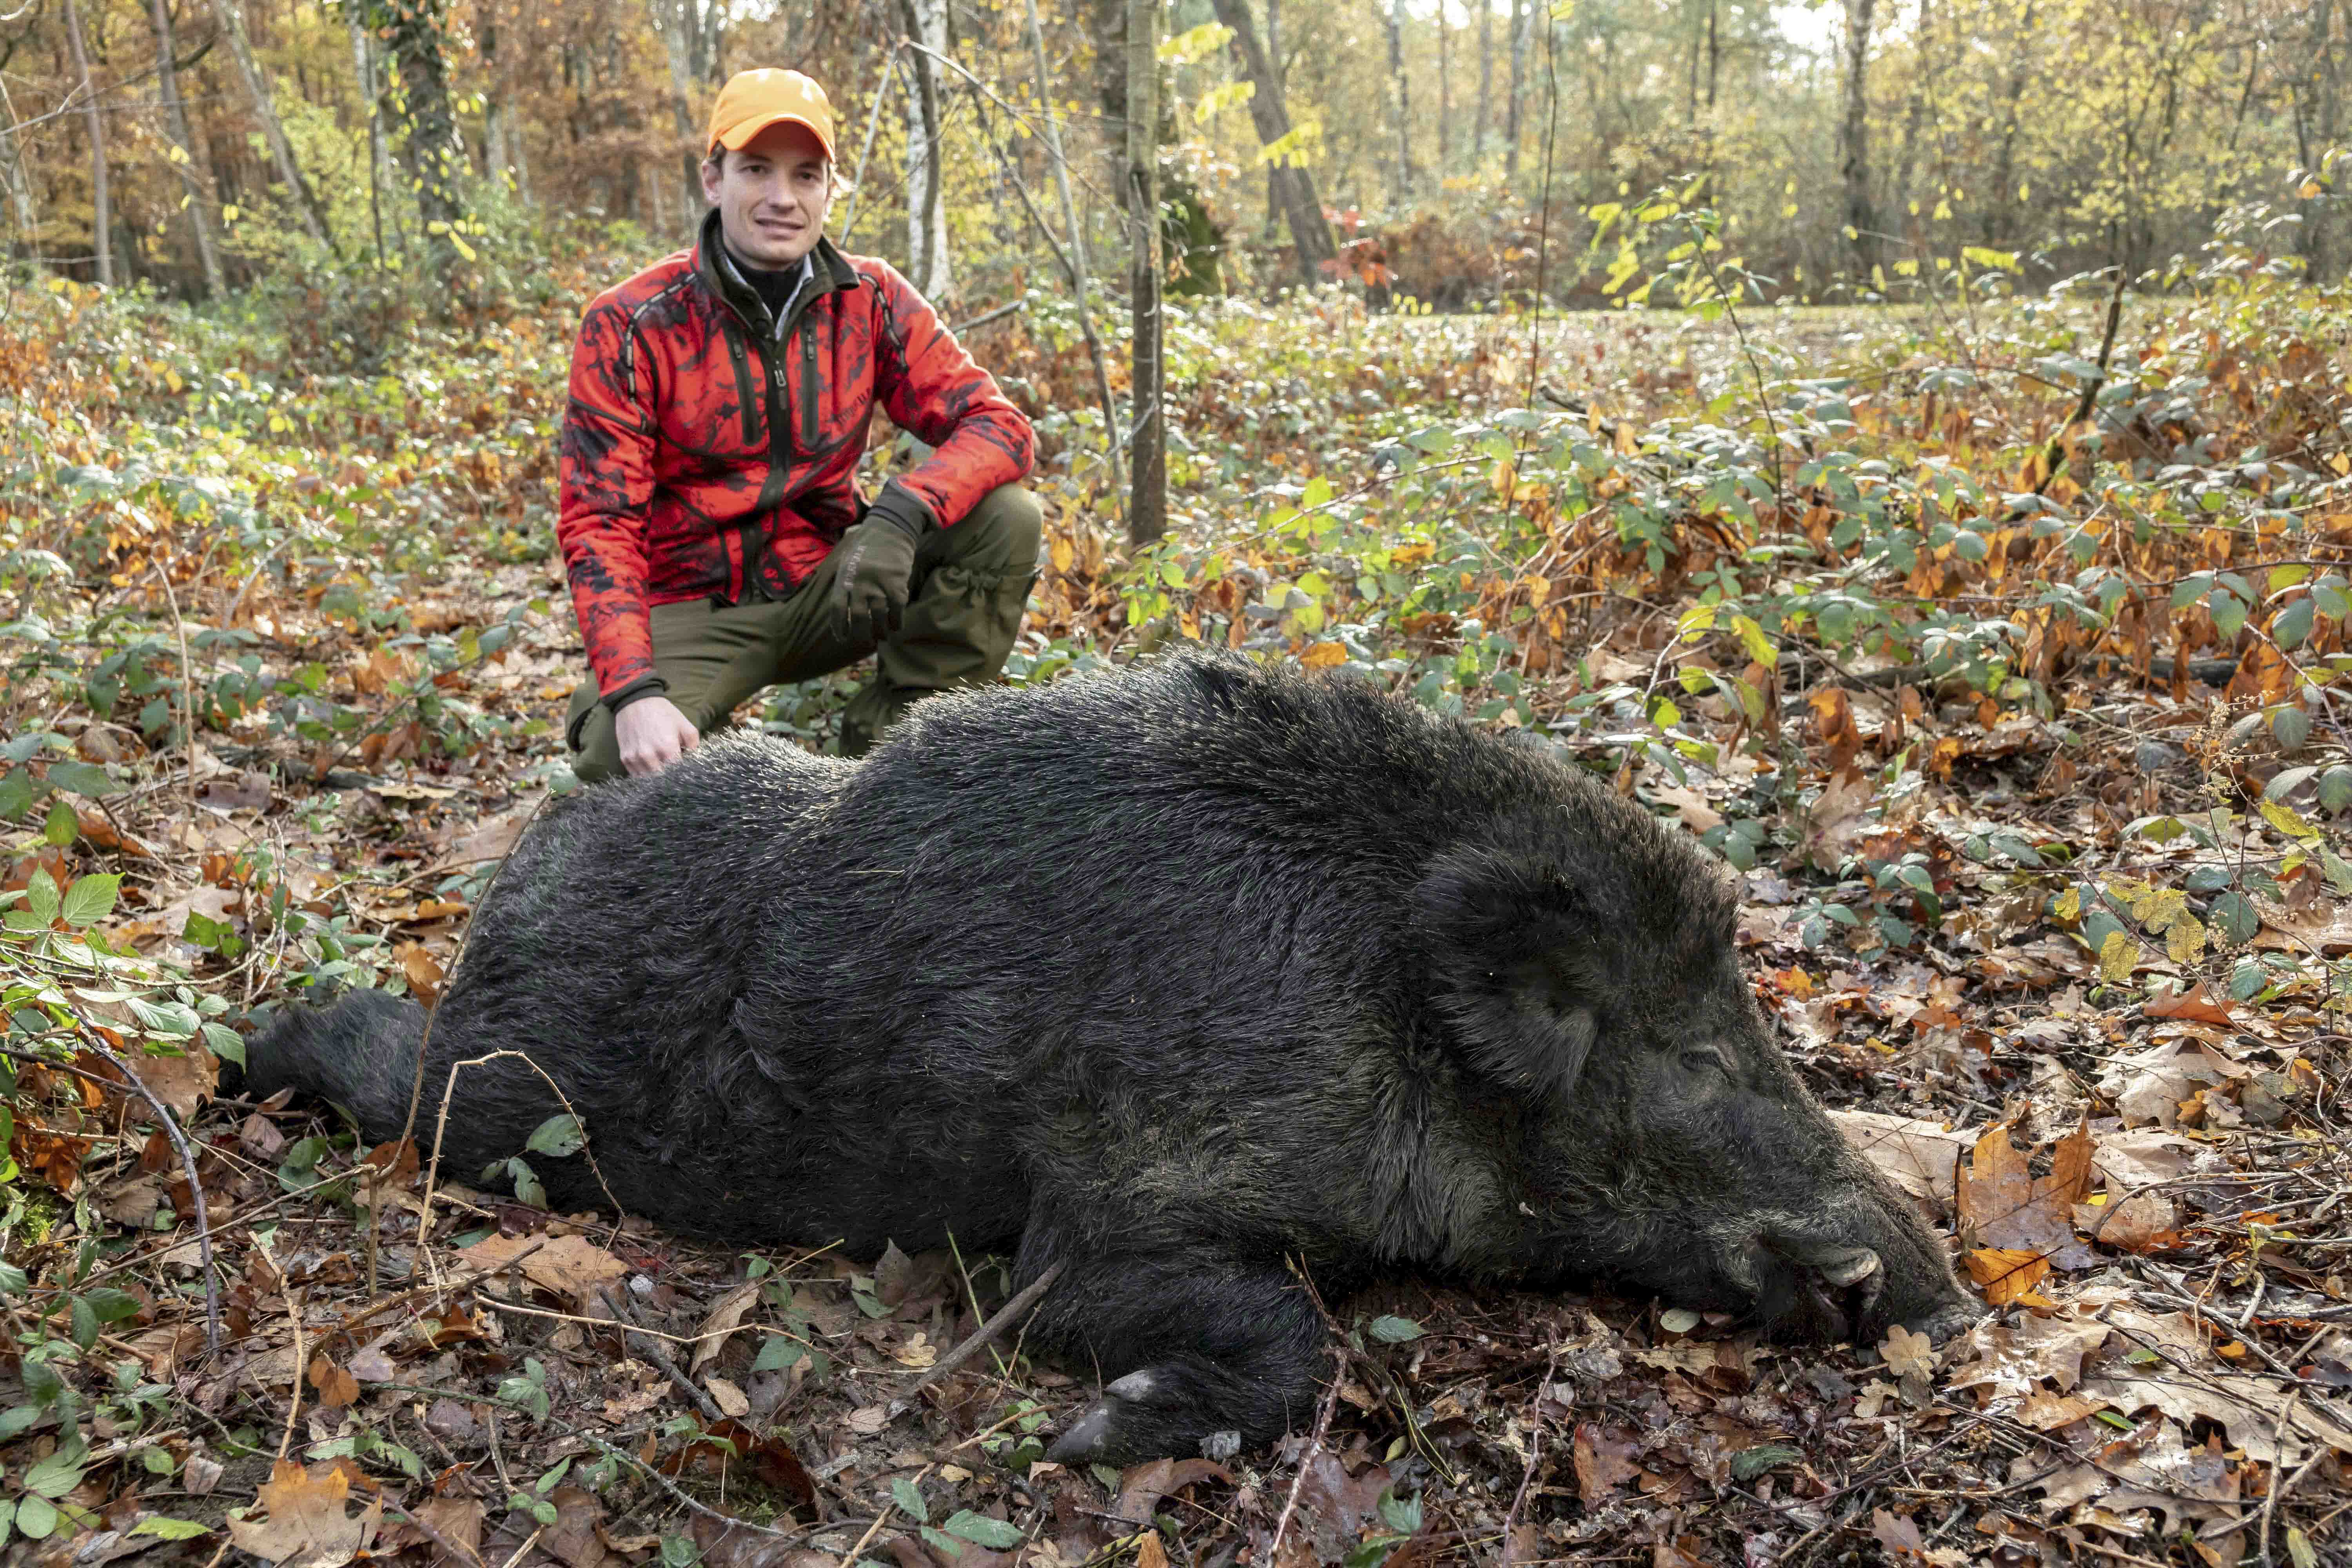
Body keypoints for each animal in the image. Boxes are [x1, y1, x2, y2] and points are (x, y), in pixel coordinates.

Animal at [246, 650, 1974, 1464]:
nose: (1945, 1285)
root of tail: (514, 871)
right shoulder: (1092, 1212)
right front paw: (1098, 1430)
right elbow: (1279, 1335)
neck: (1382, 1006)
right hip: (504, 1103)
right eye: (1701, 1058)